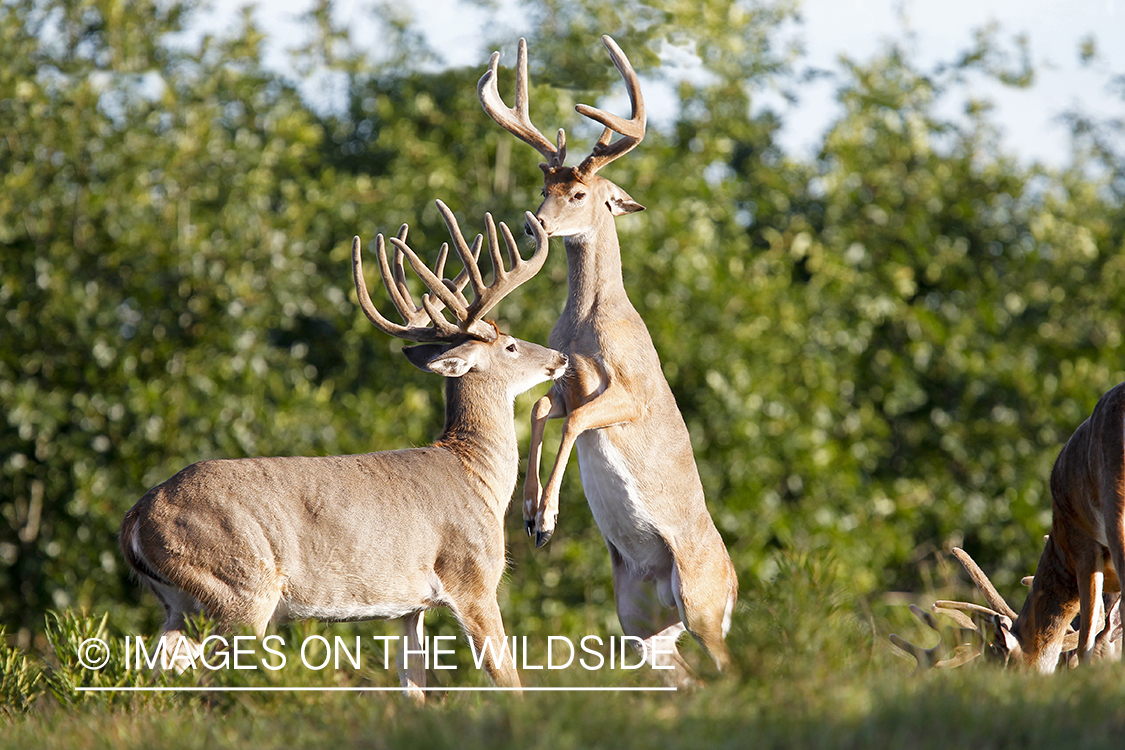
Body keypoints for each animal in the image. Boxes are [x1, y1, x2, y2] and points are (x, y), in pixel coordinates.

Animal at [118, 202, 567, 701]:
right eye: (510, 345)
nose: (560, 358)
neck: (476, 473)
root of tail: (136, 517)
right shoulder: (472, 577)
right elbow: (508, 681)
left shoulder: (410, 607)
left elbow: (414, 690)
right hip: (240, 587)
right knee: (209, 679)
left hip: (180, 605)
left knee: (154, 677)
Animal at [481, 35, 738, 683]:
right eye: (543, 187)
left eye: (578, 193)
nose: (535, 225)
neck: (588, 325)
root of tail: (734, 584)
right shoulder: (567, 381)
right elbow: (540, 410)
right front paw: (530, 515)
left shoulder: (629, 394)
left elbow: (573, 419)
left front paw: (546, 519)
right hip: (641, 618)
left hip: (701, 605)